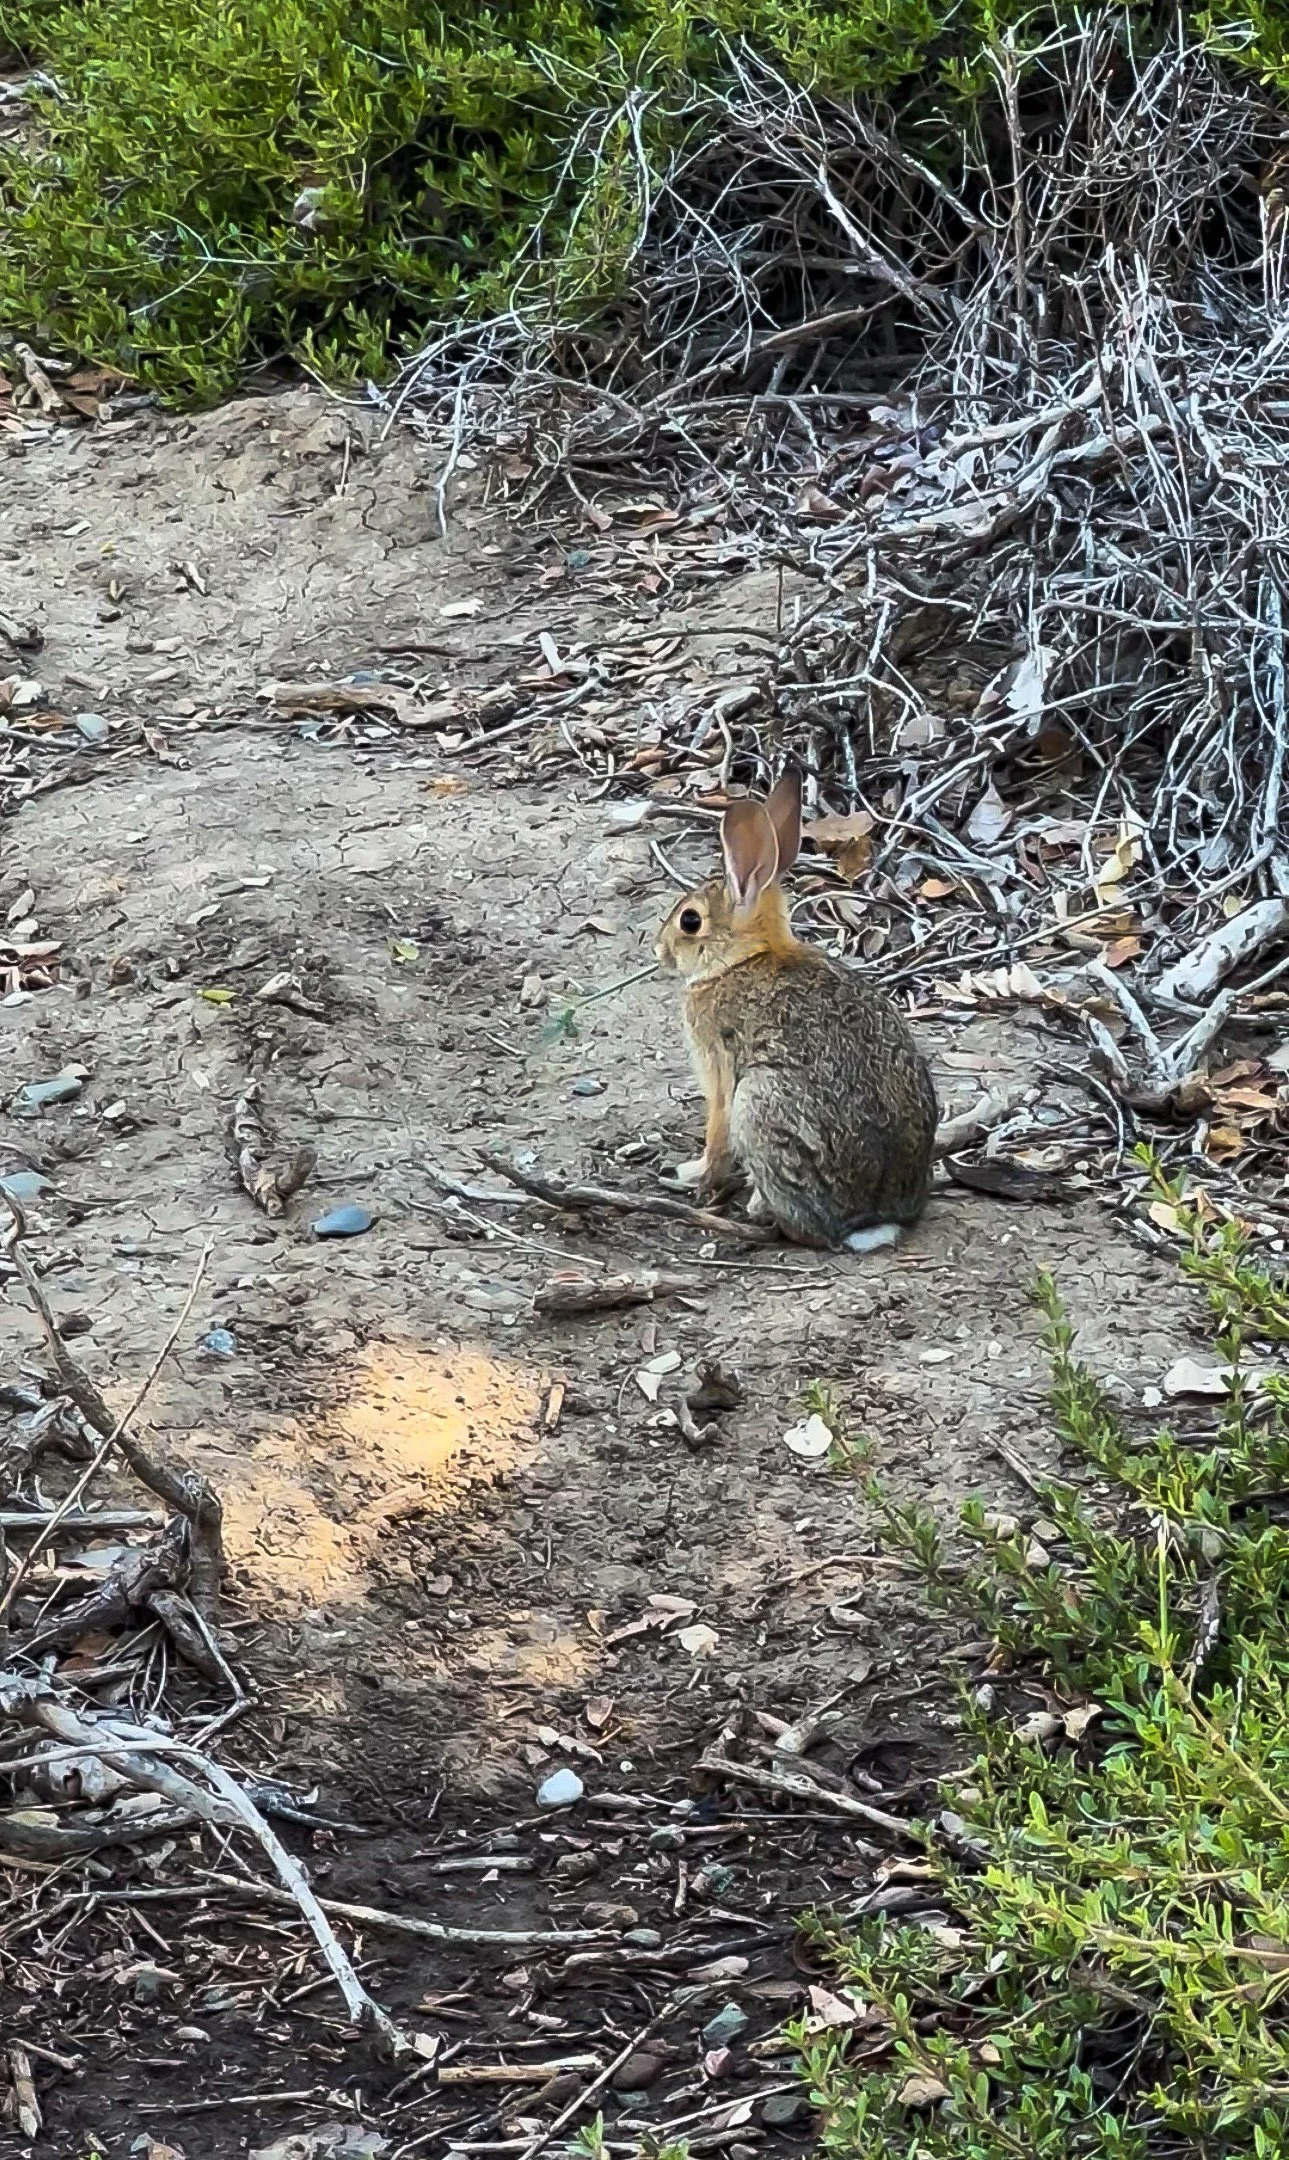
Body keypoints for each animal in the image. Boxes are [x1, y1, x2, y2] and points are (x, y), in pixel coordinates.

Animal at [654, 769, 937, 1252]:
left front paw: (695, 1174)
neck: (740, 959)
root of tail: (870, 1219)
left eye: (690, 921)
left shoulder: (720, 1070)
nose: (659, 950)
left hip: (758, 1102)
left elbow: (716, 1135)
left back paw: (758, 1209)